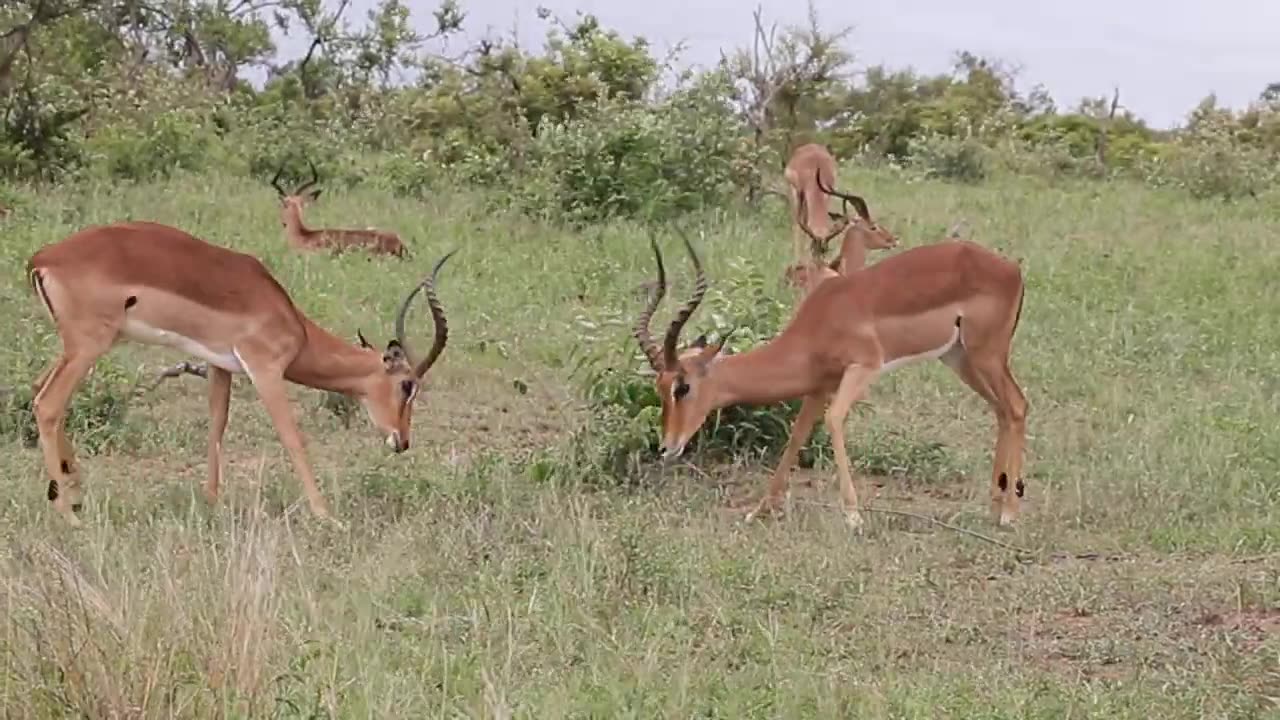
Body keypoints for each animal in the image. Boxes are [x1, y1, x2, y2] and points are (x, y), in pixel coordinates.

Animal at [26, 221, 455, 526]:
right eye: (407, 385)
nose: (402, 441)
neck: (289, 320)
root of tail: (41, 259)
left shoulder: (219, 365)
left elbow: (217, 426)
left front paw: (211, 502)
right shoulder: (264, 369)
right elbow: (292, 438)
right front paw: (326, 515)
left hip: (74, 349)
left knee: (40, 389)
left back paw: (72, 495)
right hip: (88, 347)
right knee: (48, 403)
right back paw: (69, 516)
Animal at [633, 229, 1029, 529]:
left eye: (683, 386)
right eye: (659, 388)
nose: (666, 446)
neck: (819, 321)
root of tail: (1012, 269)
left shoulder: (862, 368)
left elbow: (834, 419)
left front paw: (853, 517)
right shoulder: (819, 385)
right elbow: (797, 436)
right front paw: (758, 511)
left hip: (986, 355)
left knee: (1017, 405)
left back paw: (1009, 514)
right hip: (960, 358)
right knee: (1002, 411)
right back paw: (995, 505)